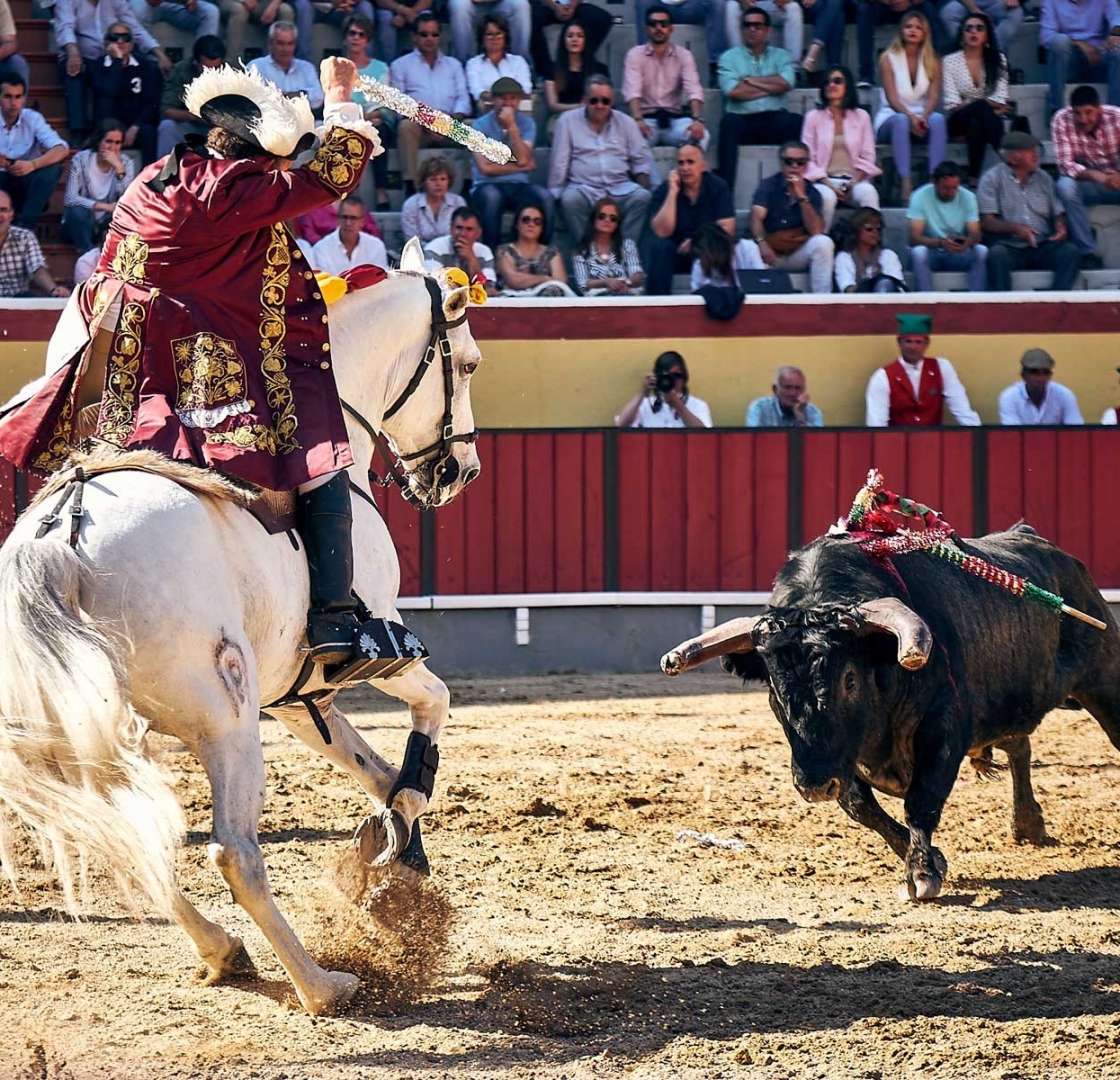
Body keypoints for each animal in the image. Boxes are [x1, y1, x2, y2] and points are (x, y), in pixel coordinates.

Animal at [0, 243, 481, 1012]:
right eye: (466, 364)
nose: (459, 471)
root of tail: (61, 534)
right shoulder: (386, 651)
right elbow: (427, 721)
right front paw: (397, 850)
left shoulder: (296, 695)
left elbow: (373, 771)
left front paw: (390, 855)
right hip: (221, 713)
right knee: (232, 850)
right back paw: (320, 983)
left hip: (78, 728)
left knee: (122, 832)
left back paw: (226, 951)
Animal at [658, 522, 1120, 900]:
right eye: (774, 688)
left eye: (849, 680)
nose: (813, 785)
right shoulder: (841, 760)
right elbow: (860, 806)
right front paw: (932, 859)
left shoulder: (942, 728)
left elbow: (922, 800)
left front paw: (922, 873)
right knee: (1019, 747)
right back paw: (1027, 825)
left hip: (1104, 680)